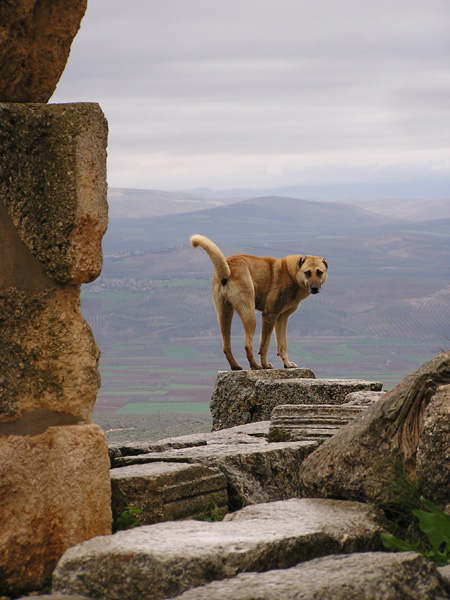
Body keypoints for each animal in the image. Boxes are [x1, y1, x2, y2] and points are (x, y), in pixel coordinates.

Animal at [190, 234, 326, 370]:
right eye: (307, 272)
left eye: (319, 272)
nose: (315, 288)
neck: (291, 273)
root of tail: (227, 270)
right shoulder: (269, 315)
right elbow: (265, 345)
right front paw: (265, 364)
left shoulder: (282, 318)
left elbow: (282, 344)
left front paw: (287, 364)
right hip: (250, 315)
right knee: (247, 345)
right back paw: (256, 365)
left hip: (225, 315)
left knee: (226, 346)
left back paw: (235, 366)